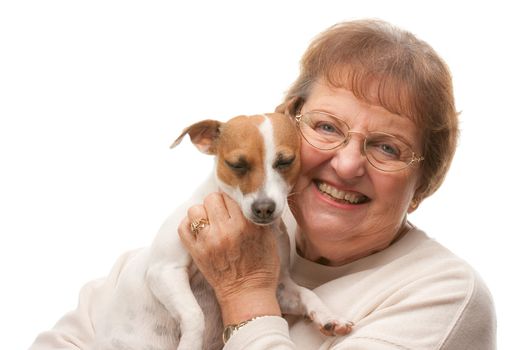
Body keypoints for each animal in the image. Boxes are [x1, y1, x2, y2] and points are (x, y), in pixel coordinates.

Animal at [89, 113, 352, 350]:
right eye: (237, 164)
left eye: (285, 161)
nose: (264, 208)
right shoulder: (165, 271)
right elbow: (195, 314)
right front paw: (190, 344)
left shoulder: (279, 287)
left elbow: (307, 294)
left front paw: (329, 316)